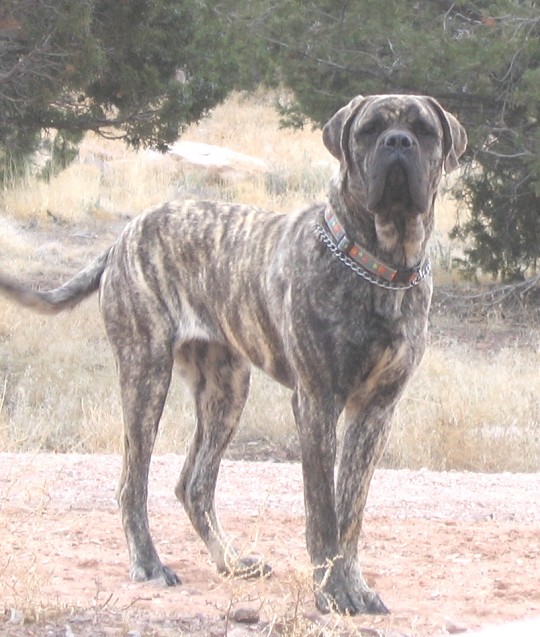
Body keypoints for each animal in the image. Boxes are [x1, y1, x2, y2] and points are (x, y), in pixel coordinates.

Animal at [0, 93, 464, 612]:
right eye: (369, 130)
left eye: (423, 130)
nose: (398, 143)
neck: (380, 263)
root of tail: (124, 235)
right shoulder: (317, 402)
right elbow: (322, 511)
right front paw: (330, 591)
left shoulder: (376, 411)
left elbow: (350, 514)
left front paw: (354, 585)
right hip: (146, 376)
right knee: (132, 484)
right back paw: (149, 563)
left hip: (226, 390)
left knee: (194, 483)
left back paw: (231, 563)